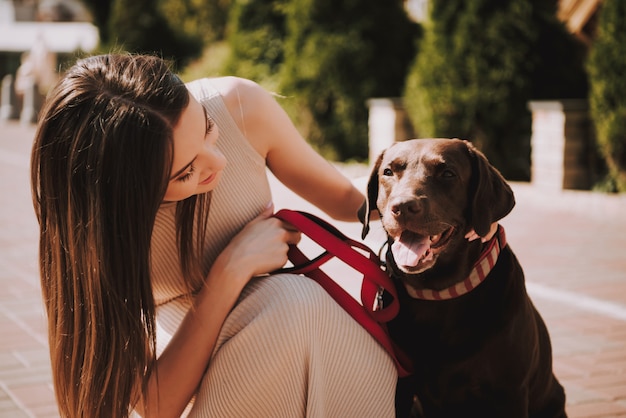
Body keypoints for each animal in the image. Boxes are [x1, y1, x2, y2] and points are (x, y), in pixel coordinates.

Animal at [356, 139, 564, 416]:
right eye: (388, 172)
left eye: (447, 173)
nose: (403, 207)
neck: (439, 292)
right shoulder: (402, 387)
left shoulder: (510, 393)